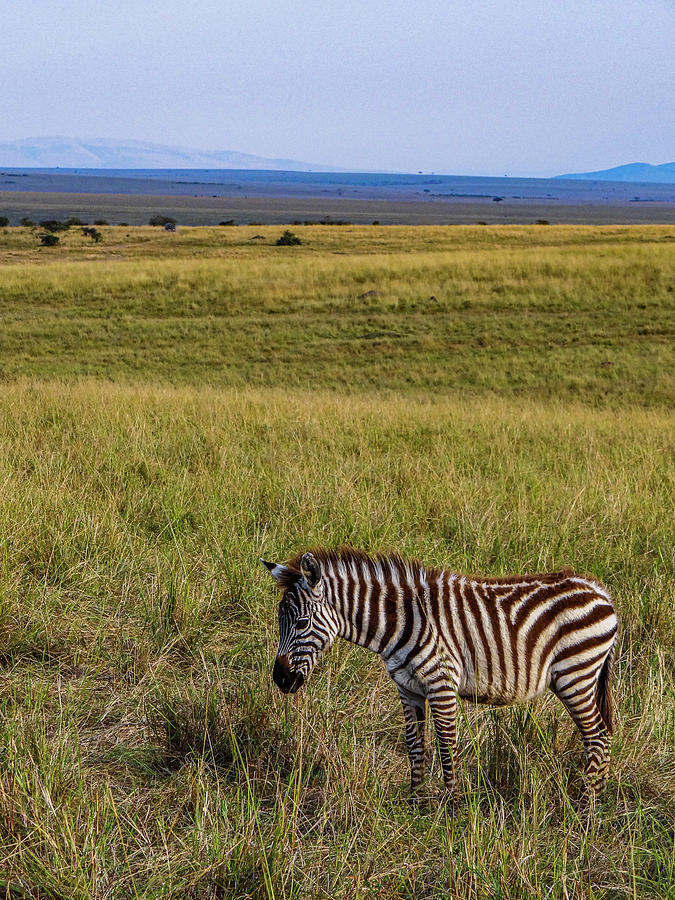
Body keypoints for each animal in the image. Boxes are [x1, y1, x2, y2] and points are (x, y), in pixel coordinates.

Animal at [262, 544, 616, 800]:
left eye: (302, 623)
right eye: (279, 621)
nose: (280, 679)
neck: (403, 621)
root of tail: (601, 591)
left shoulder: (441, 683)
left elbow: (446, 747)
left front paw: (451, 808)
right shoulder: (407, 688)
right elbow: (415, 746)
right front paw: (415, 803)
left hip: (575, 675)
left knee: (597, 736)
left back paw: (585, 808)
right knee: (604, 735)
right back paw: (596, 802)